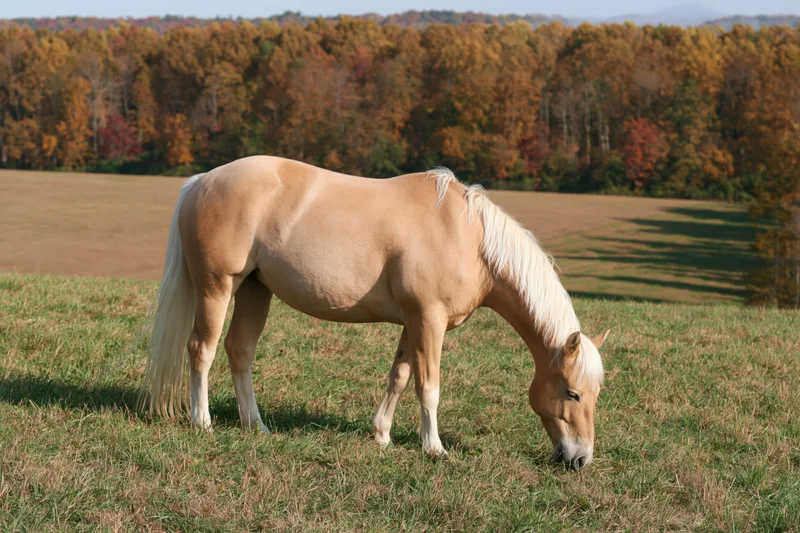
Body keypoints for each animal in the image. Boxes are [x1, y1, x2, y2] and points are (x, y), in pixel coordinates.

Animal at [140, 155, 609, 469]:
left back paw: (255, 425)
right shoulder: (430, 321)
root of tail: (202, 181)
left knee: (240, 352)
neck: (468, 237)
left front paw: (381, 435)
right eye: (572, 393)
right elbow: (428, 386)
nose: (580, 458)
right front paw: (433, 447)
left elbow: (399, 376)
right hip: (218, 287)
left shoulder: (413, 323)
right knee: (201, 349)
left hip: (256, 290)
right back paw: (202, 422)